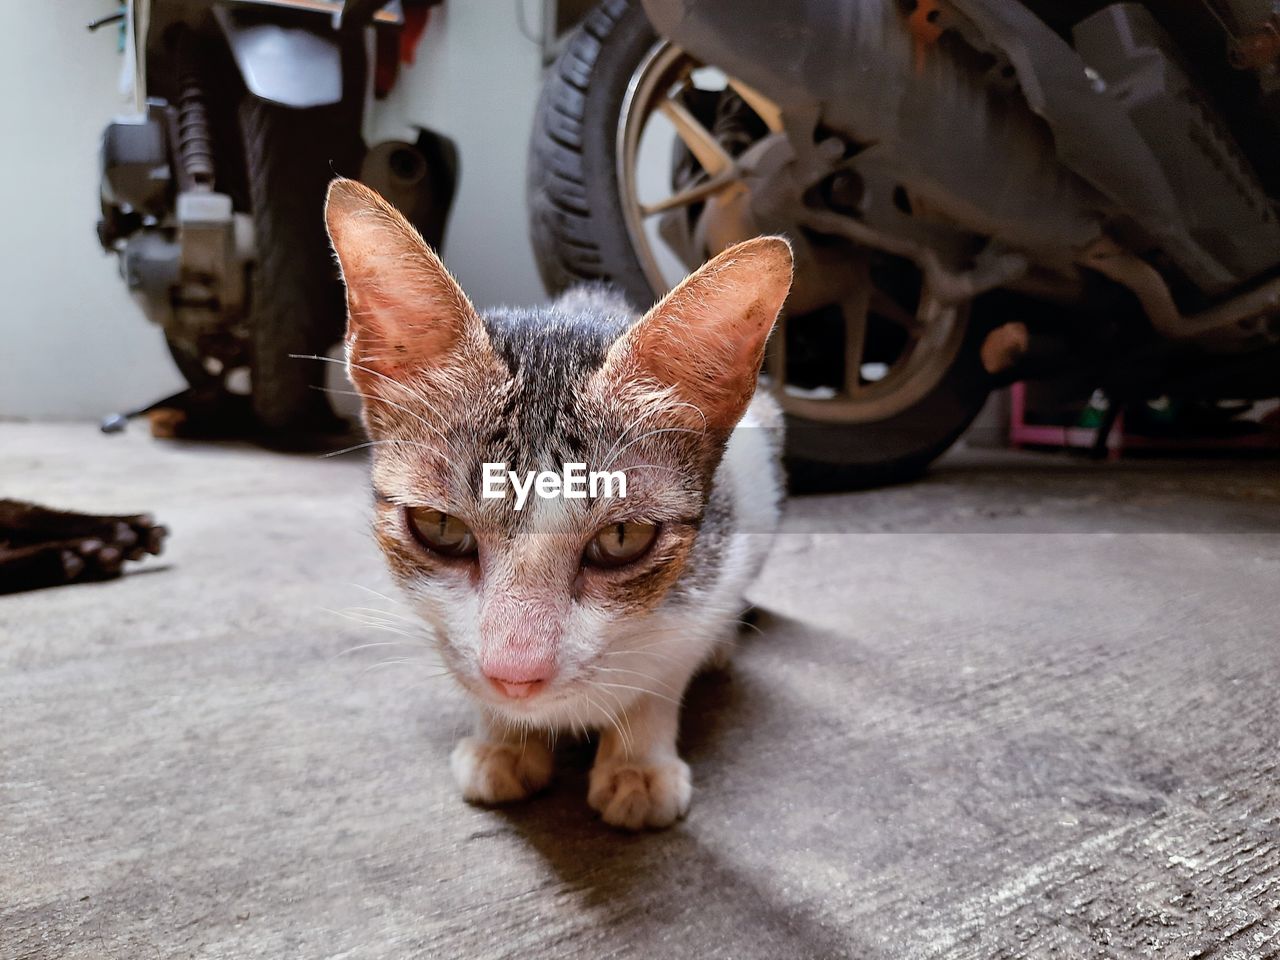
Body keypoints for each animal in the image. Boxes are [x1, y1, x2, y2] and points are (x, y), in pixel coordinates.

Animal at [322, 181, 788, 834]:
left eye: (621, 539)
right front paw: (502, 740)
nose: (516, 676)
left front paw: (638, 759)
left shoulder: (725, 543)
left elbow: (668, 665)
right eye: (440, 526)